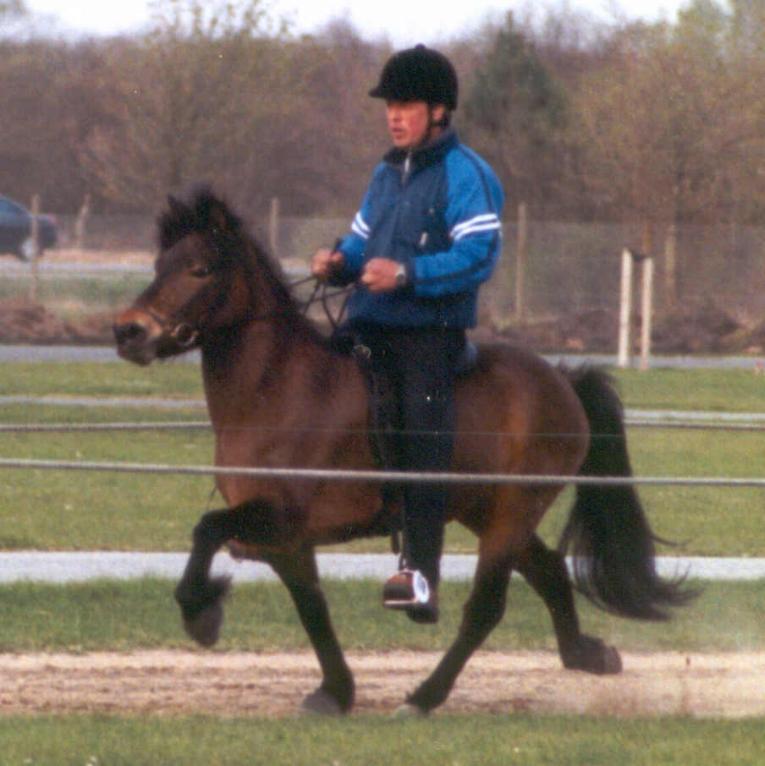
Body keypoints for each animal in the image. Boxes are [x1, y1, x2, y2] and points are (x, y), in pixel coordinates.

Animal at [115, 189, 692, 716]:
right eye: (159, 266)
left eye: (200, 269)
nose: (128, 331)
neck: (276, 388)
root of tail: (560, 380)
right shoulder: (286, 540)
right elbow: (311, 608)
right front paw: (335, 691)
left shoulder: (278, 516)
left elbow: (207, 529)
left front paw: (200, 611)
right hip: (488, 510)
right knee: (548, 570)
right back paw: (586, 654)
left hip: (512, 510)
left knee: (486, 607)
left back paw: (425, 697)